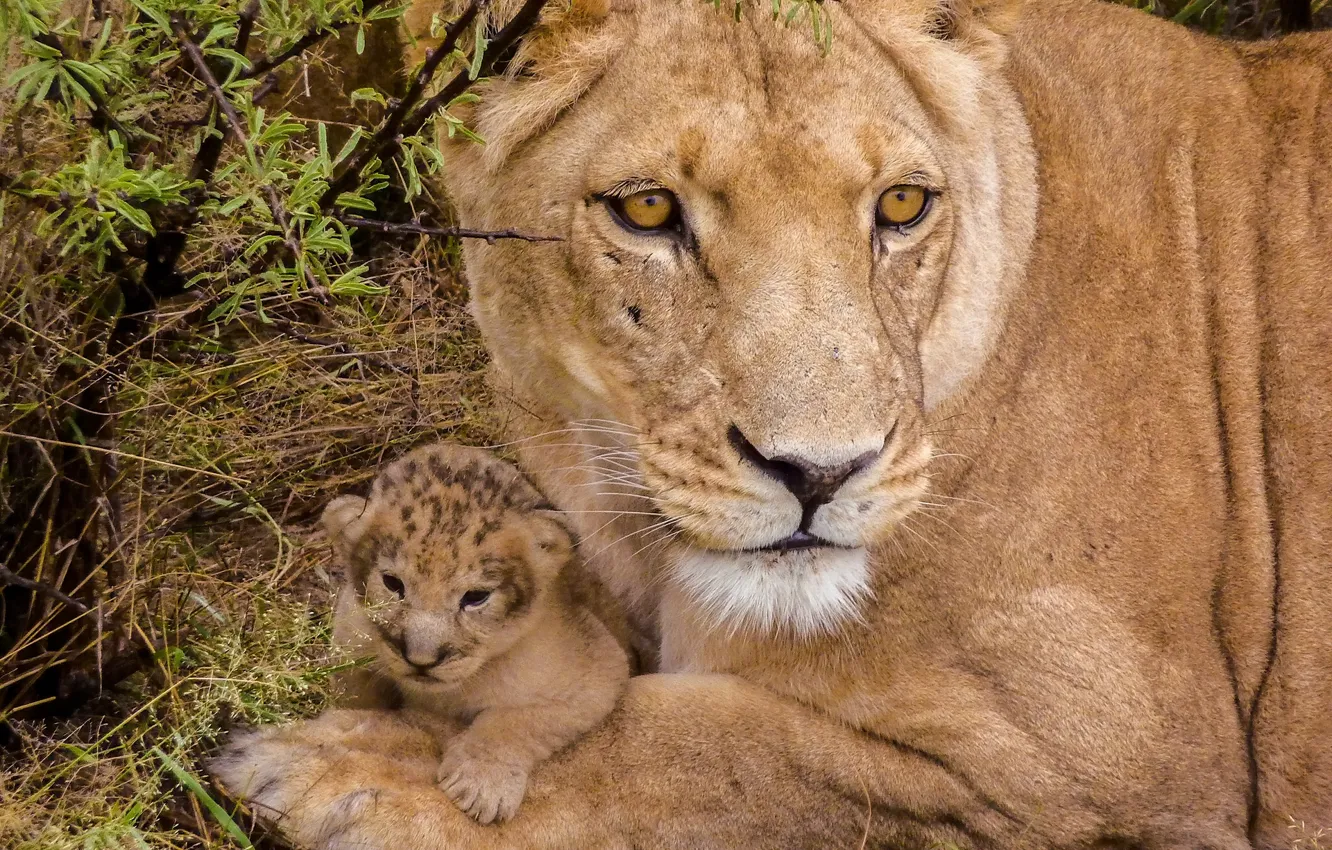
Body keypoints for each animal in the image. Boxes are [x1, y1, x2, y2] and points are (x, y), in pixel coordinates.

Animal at [208, 0, 1332, 847]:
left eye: (904, 205)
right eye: (648, 211)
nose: (819, 475)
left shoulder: (1111, 769)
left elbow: (704, 750)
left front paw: (345, 764)